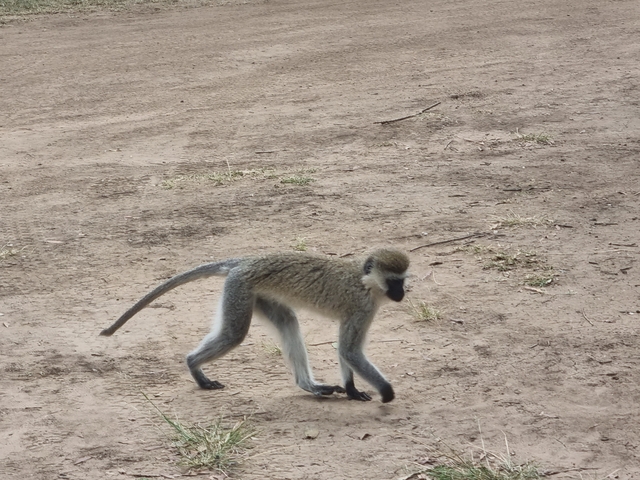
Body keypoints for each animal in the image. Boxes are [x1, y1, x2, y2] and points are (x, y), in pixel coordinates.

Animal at [100, 248, 410, 403]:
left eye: (402, 280)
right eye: (394, 281)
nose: (402, 293)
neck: (365, 281)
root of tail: (246, 261)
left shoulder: (356, 313)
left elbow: (346, 351)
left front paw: (352, 389)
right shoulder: (362, 308)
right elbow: (350, 351)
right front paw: (387, 393)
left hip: (260, 295)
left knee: (287, 322)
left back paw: (308, 385)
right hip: (240, 288)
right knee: (234, 334)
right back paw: (193, 365)